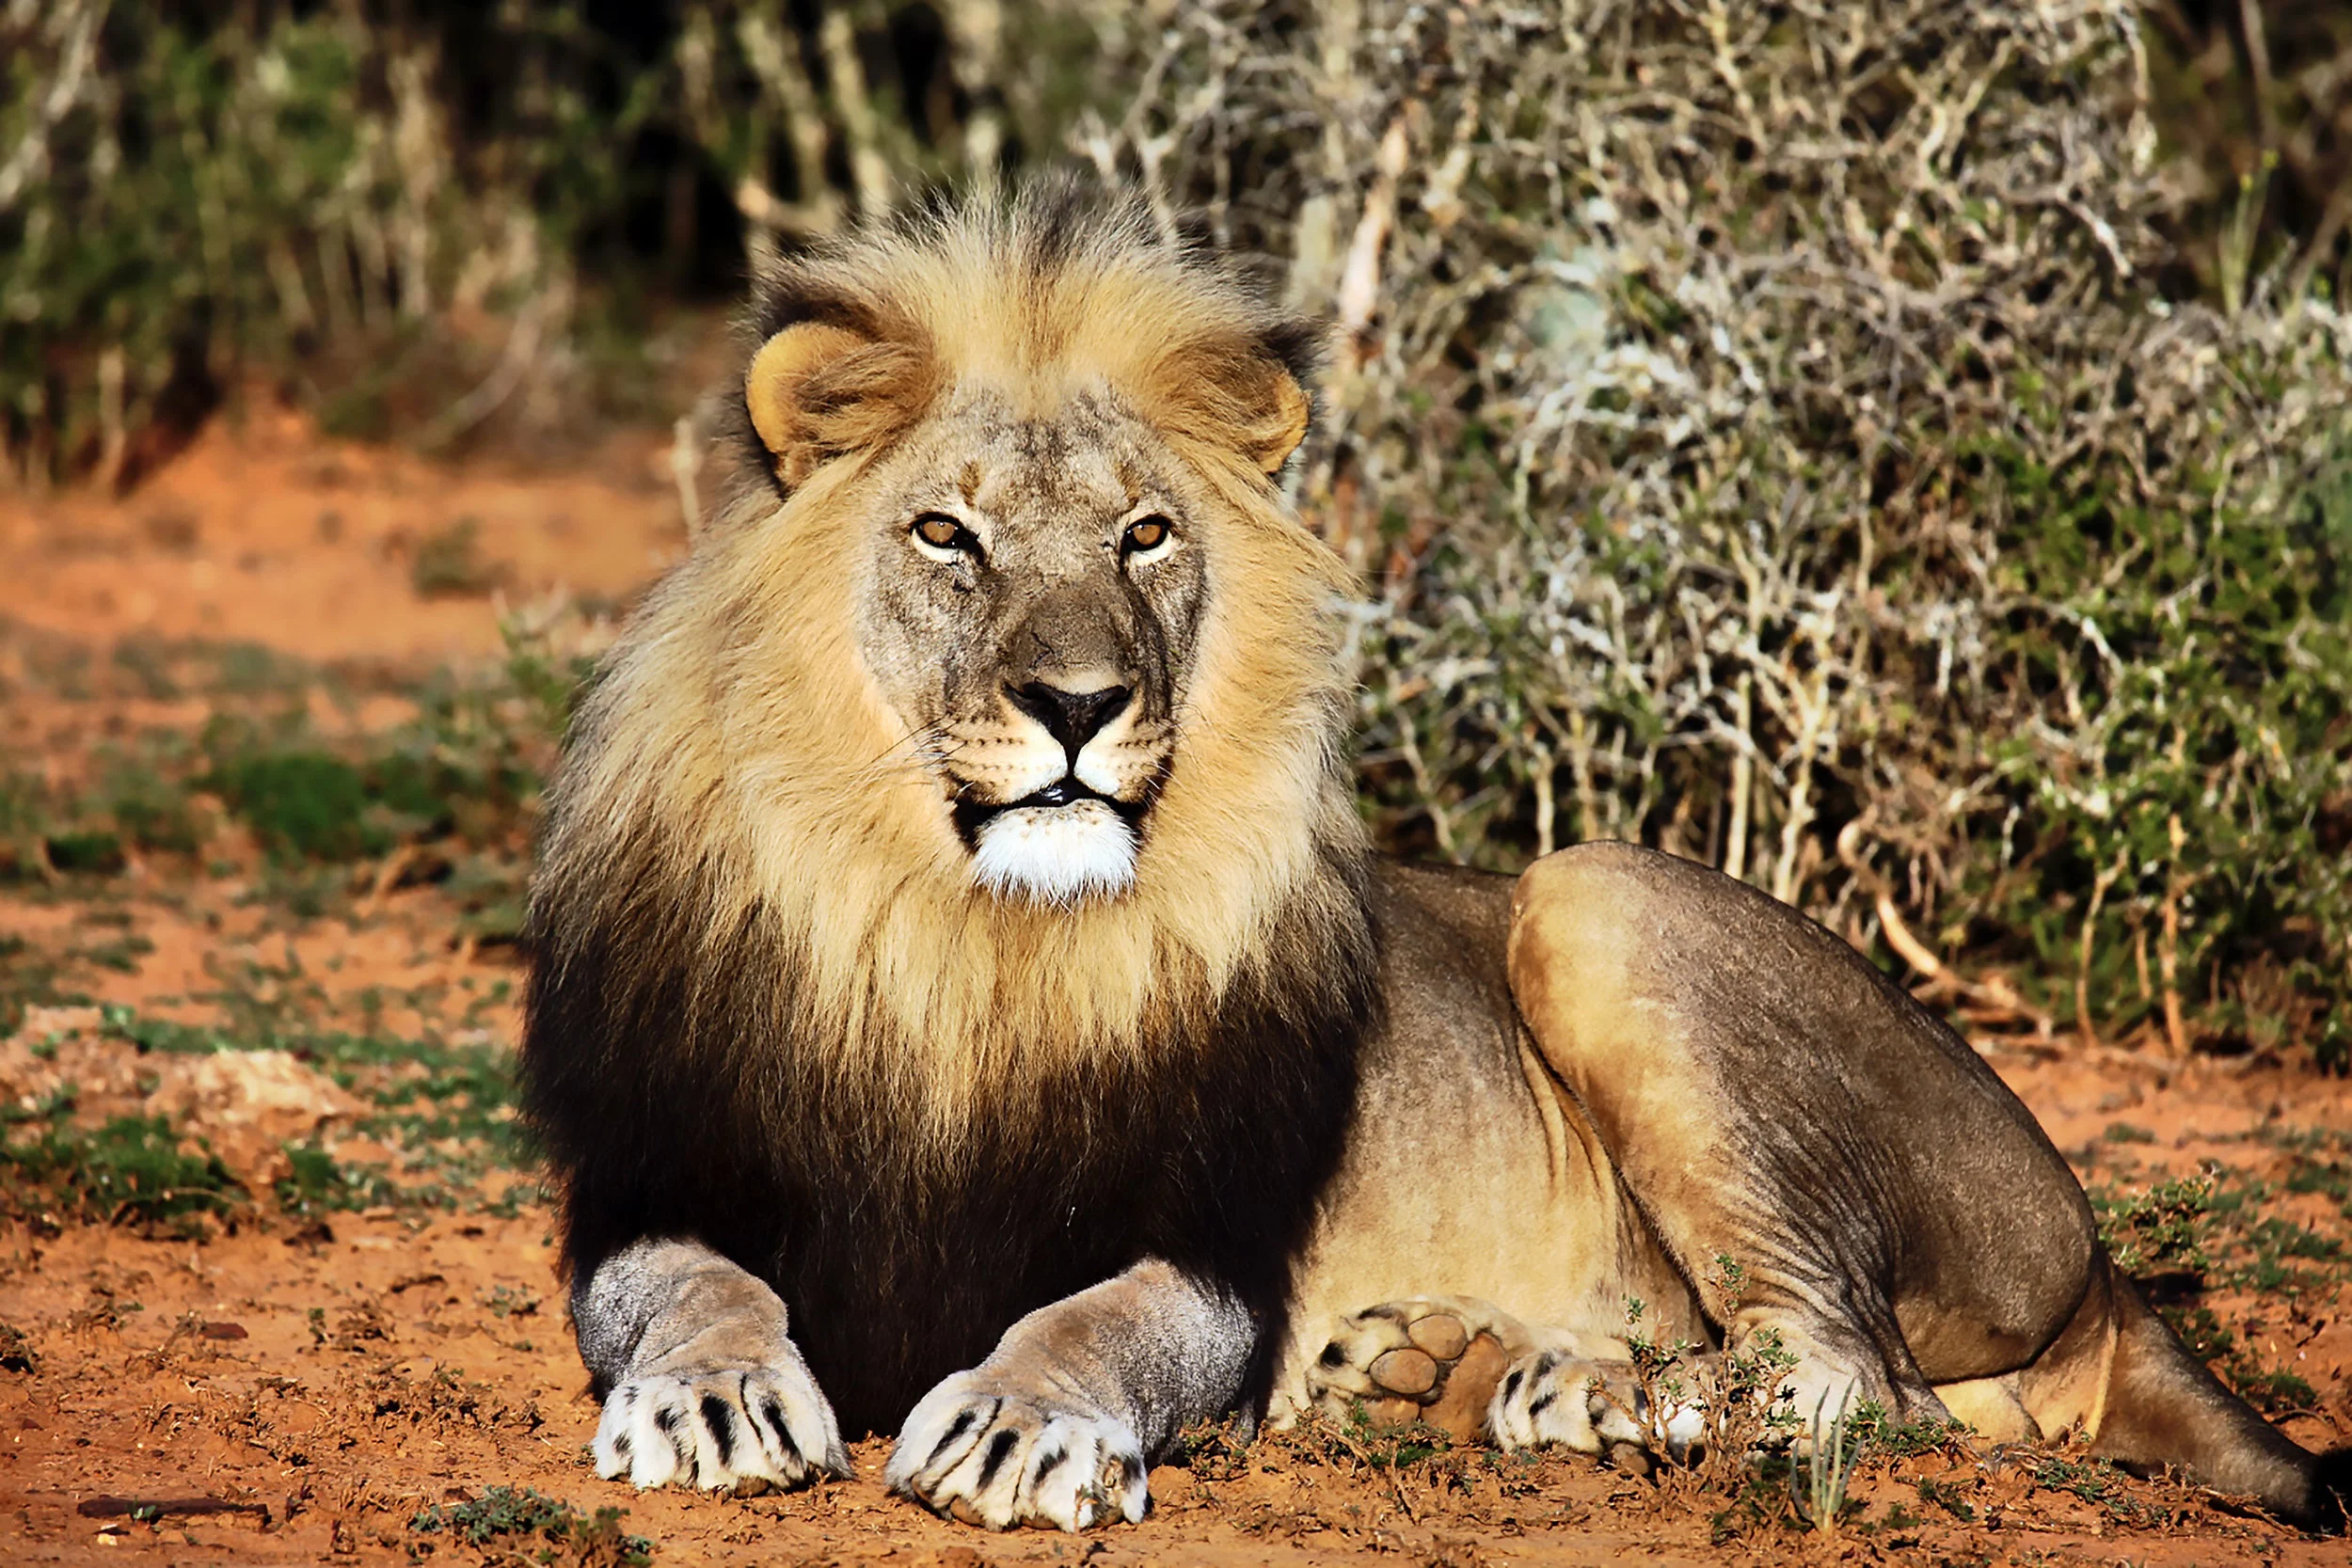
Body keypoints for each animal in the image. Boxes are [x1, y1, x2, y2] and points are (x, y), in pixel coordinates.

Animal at [519, 182, 2344, 1534]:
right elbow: (691, 1288)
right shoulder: (650, 1176)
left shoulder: (1213, 1250)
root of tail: (2095, 1247)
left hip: (1597, 892)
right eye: (946, 535)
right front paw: (711, 1398)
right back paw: (1431, 1372)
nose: (1081, 703)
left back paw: (1560, 1386)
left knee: (1841, 1372)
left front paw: (1021, 1425)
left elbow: (1096, 1321)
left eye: (1145, 536)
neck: (969, 930)